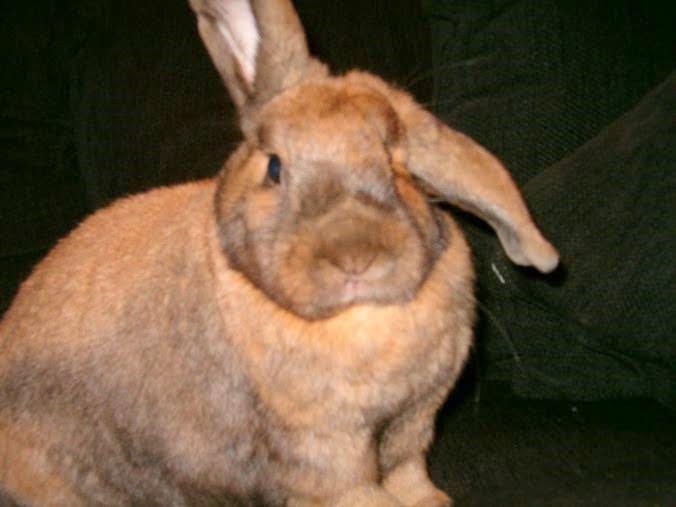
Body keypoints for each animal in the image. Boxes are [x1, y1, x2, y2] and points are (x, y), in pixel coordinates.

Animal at [0, 0, 559, 505]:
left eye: (393, 160)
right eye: (274, 168)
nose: (356, 259)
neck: (358, 319)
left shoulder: (411, 427)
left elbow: (410, 478)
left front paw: (434, 503)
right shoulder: (327, 458)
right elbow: (362, 495)